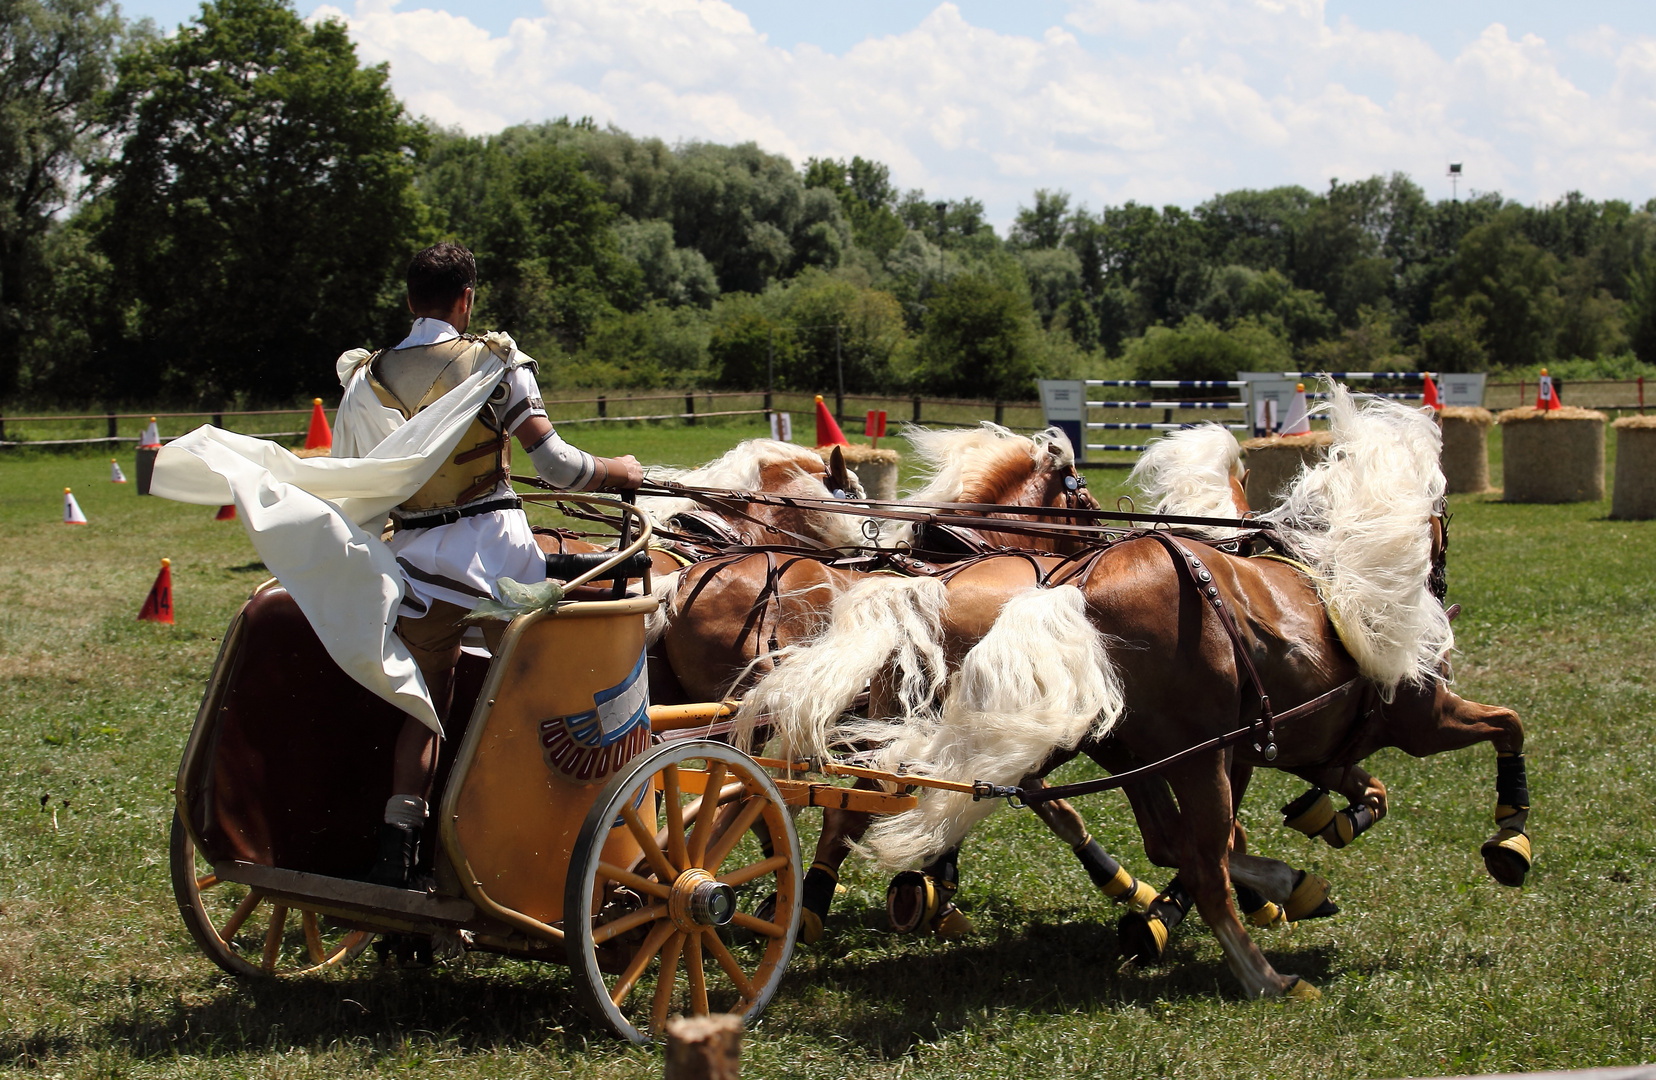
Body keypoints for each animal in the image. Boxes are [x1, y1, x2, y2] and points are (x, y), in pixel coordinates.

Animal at [738, 385, 1523, 993]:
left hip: (1104, 742)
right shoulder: (1406, 722)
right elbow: (1503, 725)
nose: (1442, 585)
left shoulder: (1248, 744)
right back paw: (1257, 966)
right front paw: (1507, 838)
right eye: (1082, 494)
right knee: (1185, 851)